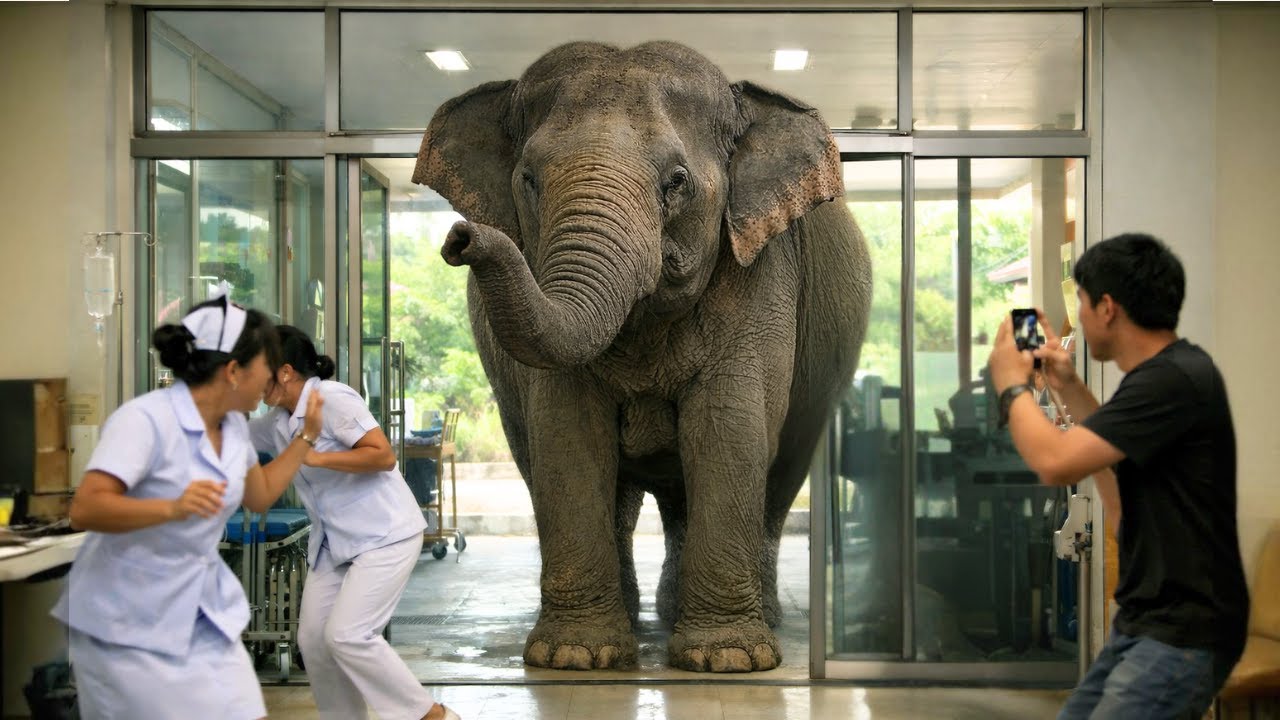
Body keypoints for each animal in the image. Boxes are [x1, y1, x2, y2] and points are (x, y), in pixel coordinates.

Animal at [413, 40, 872, 673]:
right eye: (528, 180)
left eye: (677, 181)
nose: (460, 238)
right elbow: (566, 430)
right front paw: (574, 656)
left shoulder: (763, 268)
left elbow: (728, 426)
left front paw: (727, 660)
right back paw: (635, 618)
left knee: (777, 477)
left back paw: (751, 619)